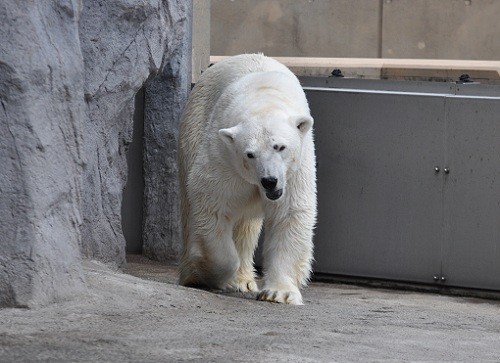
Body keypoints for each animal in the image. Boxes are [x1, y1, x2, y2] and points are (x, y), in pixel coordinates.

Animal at [178, 53, 314, 304]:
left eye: (280, 147)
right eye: (250, 154)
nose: (269, 181)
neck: (263, 97)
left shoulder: (295, 169)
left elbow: (289, 213)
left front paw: (278, 292)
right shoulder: (223, 155)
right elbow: (211, 203)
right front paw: (207, 276)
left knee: (247, 226)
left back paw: (244, 280)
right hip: (192, 129)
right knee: (188, 208)